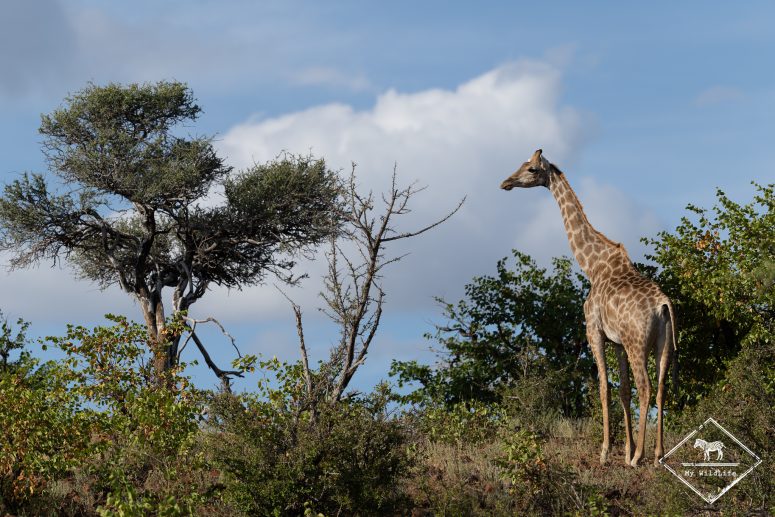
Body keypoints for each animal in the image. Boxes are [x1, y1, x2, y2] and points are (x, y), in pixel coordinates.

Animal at [500, 149, 677, 467]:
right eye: (522, 164)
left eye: (532, 169)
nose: (505, 183)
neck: (593, 267)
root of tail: (663, 305)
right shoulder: (616, 341)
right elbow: (623, 391)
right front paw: (626, 450)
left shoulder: (593, 330)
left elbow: (604, 387)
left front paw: (607, 452)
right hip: (662, 344)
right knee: (659, 389)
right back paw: (658, 455)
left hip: (637, 343)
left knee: (645, 387)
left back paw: (640, 457)